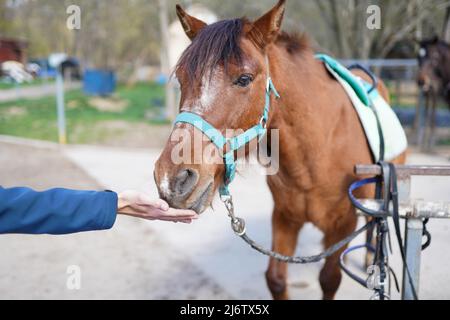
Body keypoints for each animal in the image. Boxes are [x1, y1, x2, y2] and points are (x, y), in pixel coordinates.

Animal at [155, 0, 408, 300]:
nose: (172, 179)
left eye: (244, 79)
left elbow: (329, 279)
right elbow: (275, 278)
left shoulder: (342, 225)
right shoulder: (285, 217)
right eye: (182, 80)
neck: (316, 152)